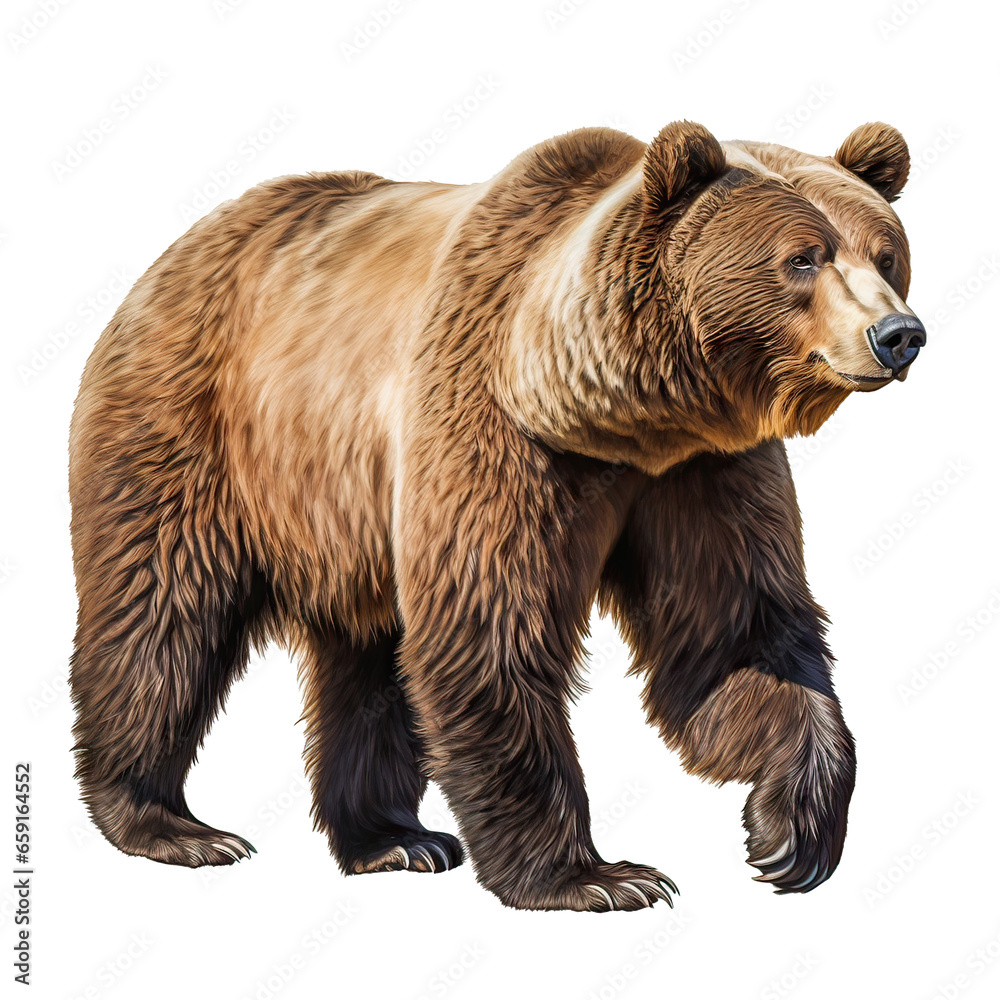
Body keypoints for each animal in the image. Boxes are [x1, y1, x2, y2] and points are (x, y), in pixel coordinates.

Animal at [69, 120, 924, 911]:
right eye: (802, 257)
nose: (898, 334)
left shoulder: (701, 470)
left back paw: (394, 839)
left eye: (886, 255)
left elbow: (734, 632)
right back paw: (169, 824)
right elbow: (490, 628)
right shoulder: (494, 425)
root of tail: (180, 248)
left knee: (369, 657)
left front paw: (792, 833)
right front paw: (596, 877)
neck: (616, 415)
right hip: (197, 427)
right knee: (163, 610)